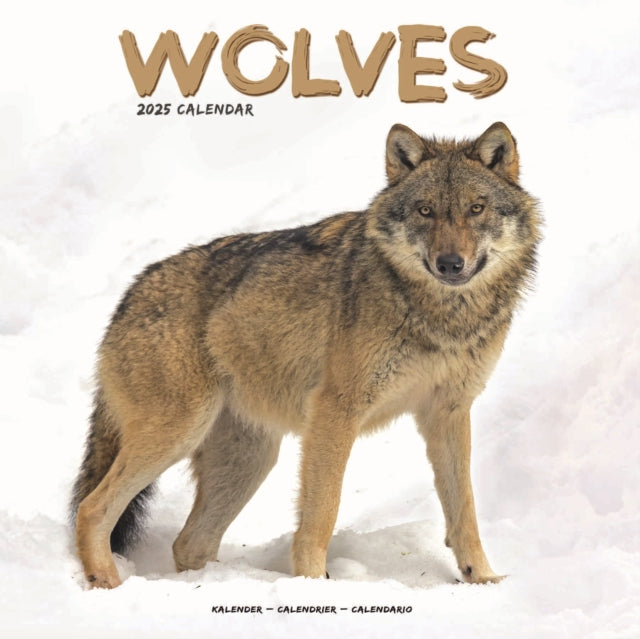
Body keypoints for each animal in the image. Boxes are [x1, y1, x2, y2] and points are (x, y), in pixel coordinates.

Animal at [70, 121, 540, 589]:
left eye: (476, 208)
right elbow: (322, 512)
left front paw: (483, 578)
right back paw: (107, 583)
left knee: (189, 543)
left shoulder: (449, 411)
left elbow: (465, 509)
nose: (450, 264)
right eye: (425, 211)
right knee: (91, 509)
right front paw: (313, 583)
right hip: (180, 432)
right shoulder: (334, 412)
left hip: (249, 458)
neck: (442, 317)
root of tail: (129, 296)